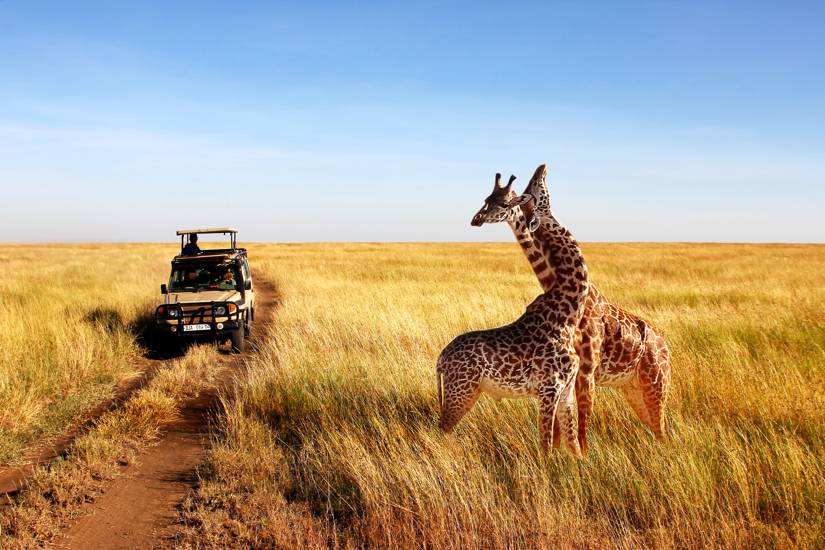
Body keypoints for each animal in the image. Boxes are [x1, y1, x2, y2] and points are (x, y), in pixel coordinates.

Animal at [470, 165, 668, 452]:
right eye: (486, 199)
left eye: (504, 201)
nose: (476, 219)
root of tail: (665, 344)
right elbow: (560, 428)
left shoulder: (585, 370)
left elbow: (579, 426)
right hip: (633, 388)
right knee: (656, 428)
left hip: (656, 382)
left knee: (662, 428)